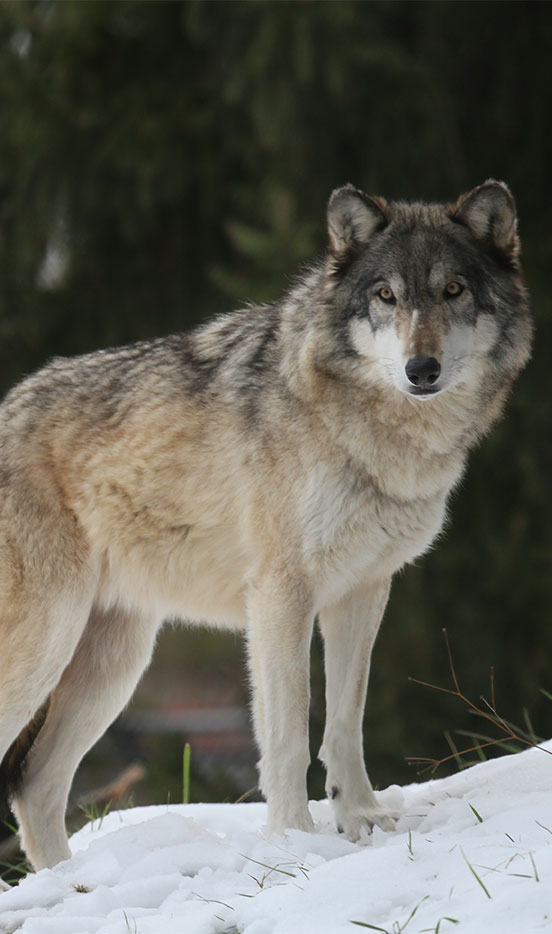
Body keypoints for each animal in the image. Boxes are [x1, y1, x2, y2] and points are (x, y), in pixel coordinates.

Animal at [0, 180, 531, 884]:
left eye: (453, 290)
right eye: (386, 295)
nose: (422, 369)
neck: (373, 434)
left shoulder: (362, 592)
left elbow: (345, 721)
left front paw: (360, 820)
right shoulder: (282, 595)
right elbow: (287, 735)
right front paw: (294, 843)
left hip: (114, 665)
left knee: (36, 787)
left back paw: (79, 887)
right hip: (48, 646)